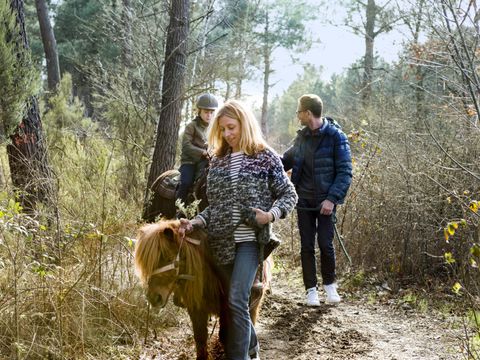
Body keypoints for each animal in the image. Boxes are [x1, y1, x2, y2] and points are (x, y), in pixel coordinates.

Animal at [135, 219, 270, 360]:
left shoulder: (227, 310)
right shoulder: (196, 309)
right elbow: (200, 337)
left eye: (166, 257)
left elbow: (227, 334)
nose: (153, 297)